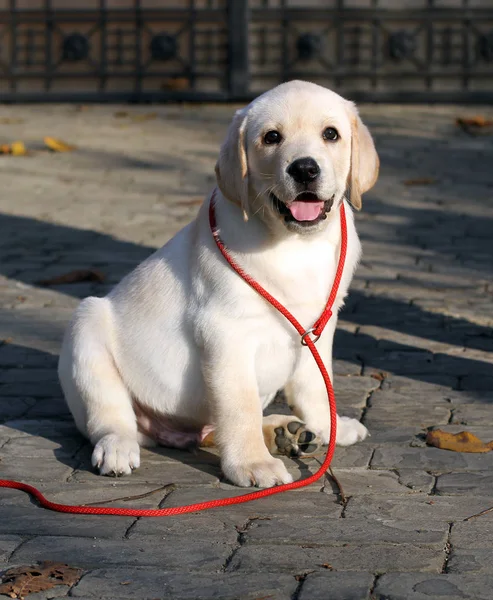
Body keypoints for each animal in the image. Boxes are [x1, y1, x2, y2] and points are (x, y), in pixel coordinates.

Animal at [59, 79, 378, 488]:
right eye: (272, 137)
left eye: (331, 134)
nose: (304, 169)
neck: (294, 244)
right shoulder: (225, 332)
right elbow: (239, 405)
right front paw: (253, 464)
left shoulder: (319, 326)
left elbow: (317, 386)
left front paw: (328, 425)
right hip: (86, 329)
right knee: (113, 416)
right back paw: (117, 446)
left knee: (213, 431)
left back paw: (284, 431)